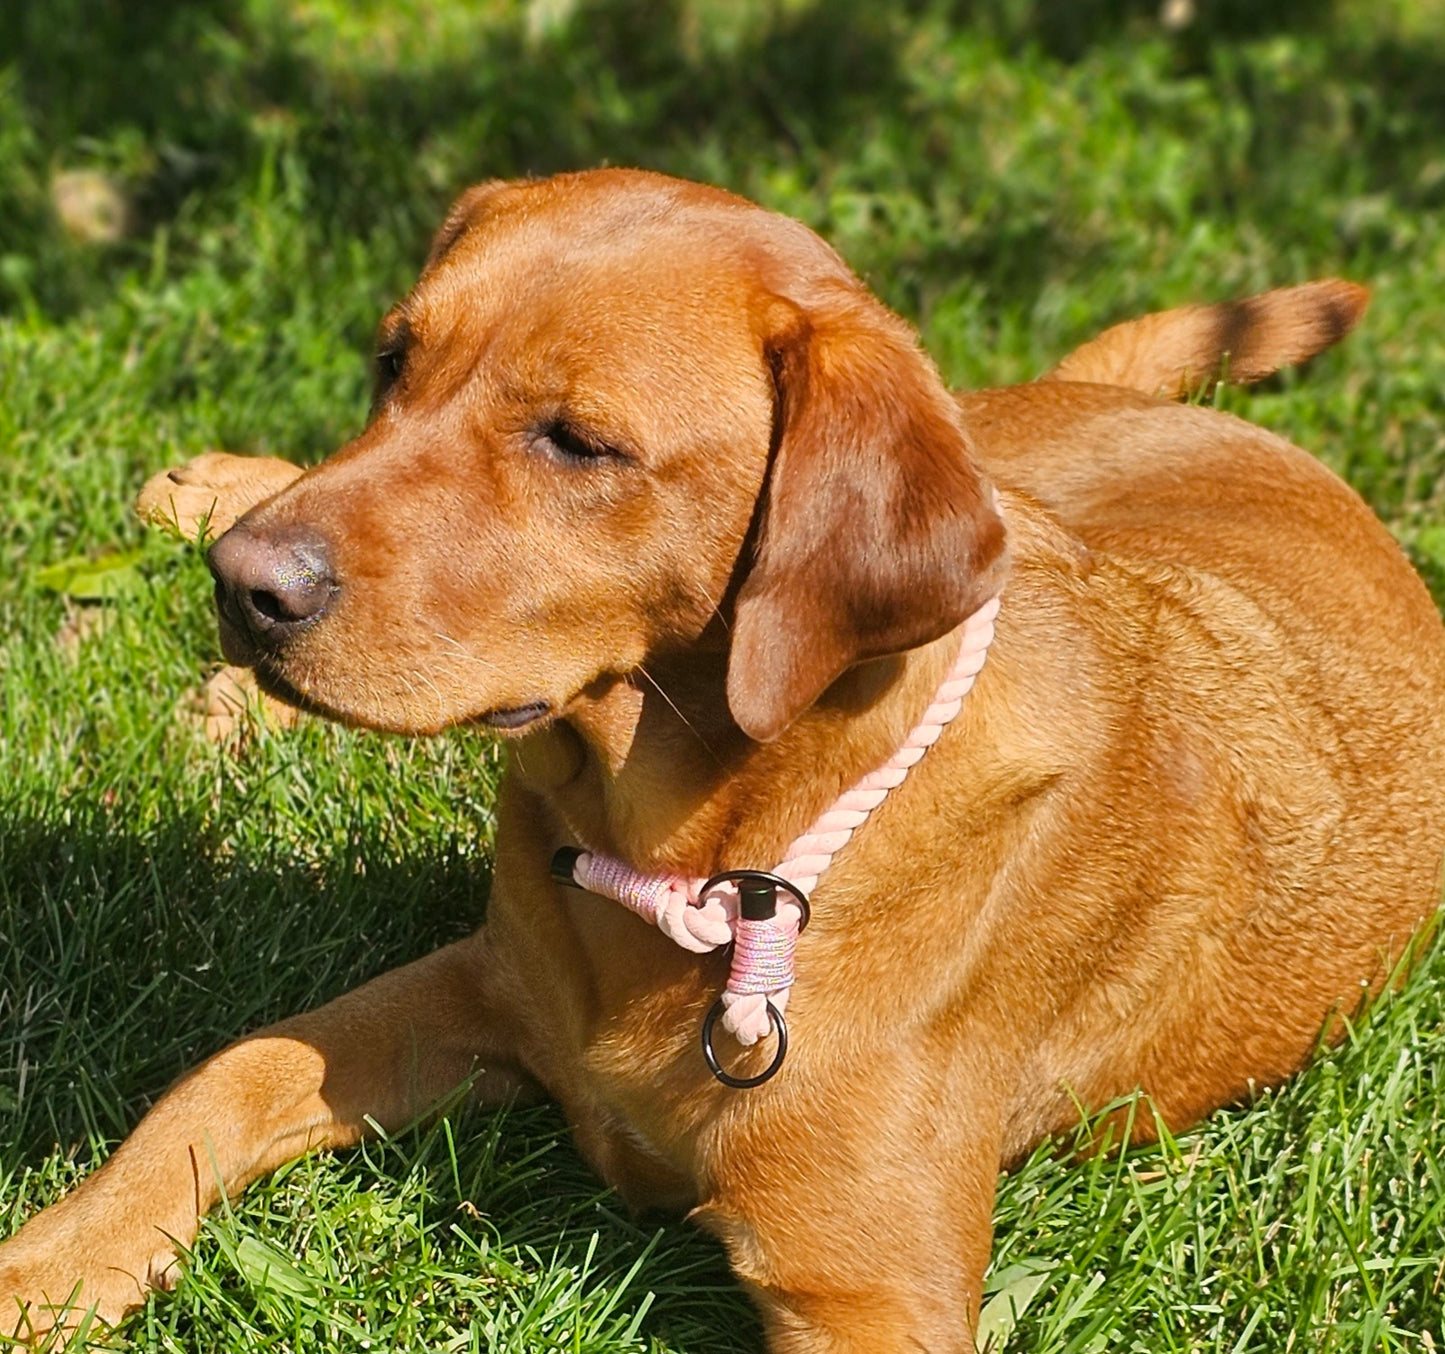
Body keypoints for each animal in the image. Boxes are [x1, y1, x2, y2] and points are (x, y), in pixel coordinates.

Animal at [2, 171, 1445, 1352]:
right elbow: (226, 1071)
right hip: (1005, 459)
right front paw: (51, 1264)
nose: (243, 586)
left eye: (577, 441)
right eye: (389, 360)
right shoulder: (482, 982)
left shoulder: (867, 1291)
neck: (704, 858)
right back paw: (209, 511)